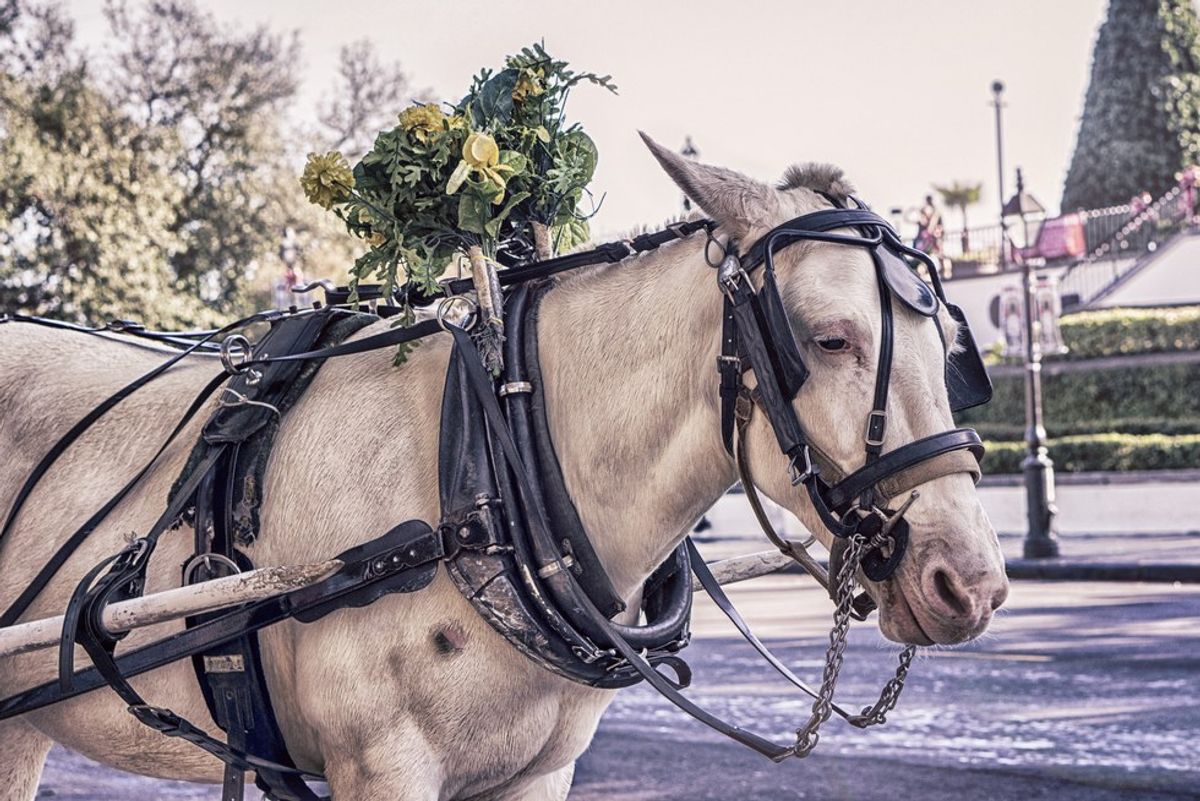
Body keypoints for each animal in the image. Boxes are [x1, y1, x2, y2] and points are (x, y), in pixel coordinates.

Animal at [0, 137, 1012, 801]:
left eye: (950, 343)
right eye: (828, 338)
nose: (970, 580)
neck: (489, 476)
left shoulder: (540, 772)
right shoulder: (384, 769)